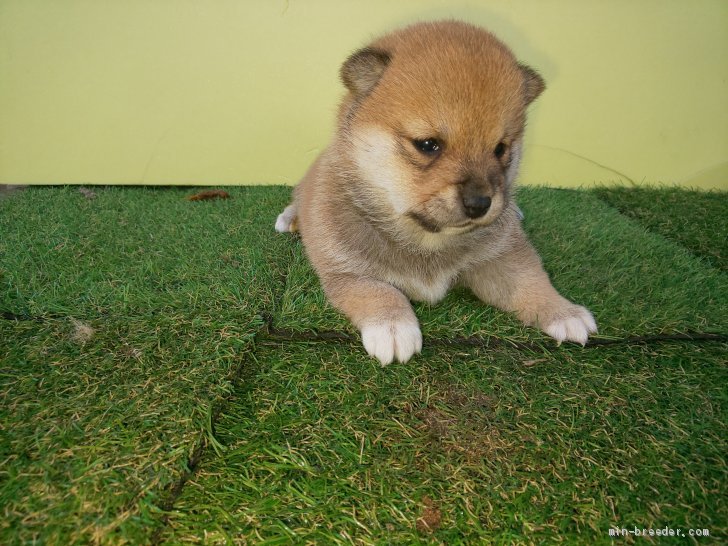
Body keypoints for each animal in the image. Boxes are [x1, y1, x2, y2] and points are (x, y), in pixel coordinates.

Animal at [276, 21, 596, 364]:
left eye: (500, 149)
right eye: (428, 144)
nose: (480, 203)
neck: (426, 240)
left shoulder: (501, 257)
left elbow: (531, 280)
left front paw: (563, 311)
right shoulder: (346, 271)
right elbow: (379, 291)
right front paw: (393, 325)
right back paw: (289, 218)